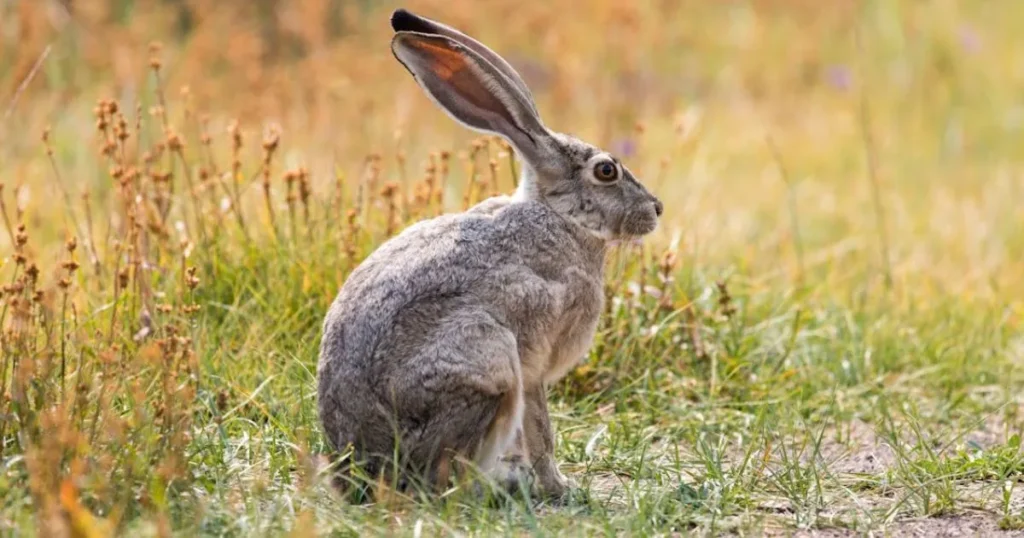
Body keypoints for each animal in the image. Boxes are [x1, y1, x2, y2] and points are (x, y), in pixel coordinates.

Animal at [313, 8, 663, 500]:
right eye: (607, 171)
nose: (656, 210)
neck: (560, 218)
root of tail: (365, 470)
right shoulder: (532, 360)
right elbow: (540, 430)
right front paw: (560, 488)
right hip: (487, 361)